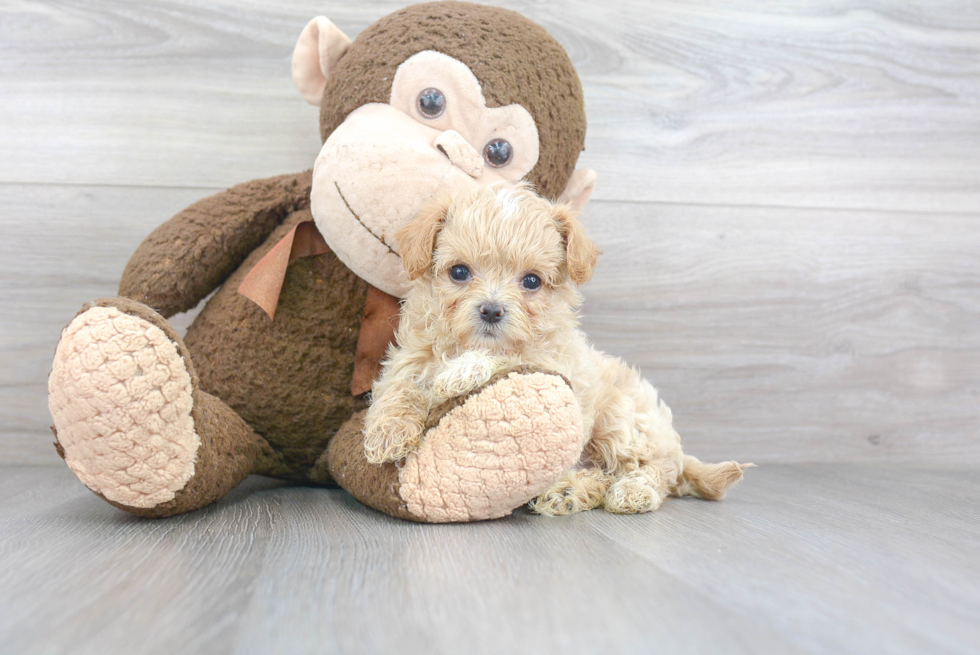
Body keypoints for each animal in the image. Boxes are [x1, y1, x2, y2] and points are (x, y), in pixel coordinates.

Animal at [364, 182, 748, 516]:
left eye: (531, 281)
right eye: (459, 272)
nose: (491, 311)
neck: (468, 342)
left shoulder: (554, 365)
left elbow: (508, 356)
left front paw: (458, 372)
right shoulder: (410, 355)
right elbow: (399, 385)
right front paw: (387, 433)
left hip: (623, 420)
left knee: (654, 470)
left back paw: (631, 491)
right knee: (604, 474)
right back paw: (568, 491)